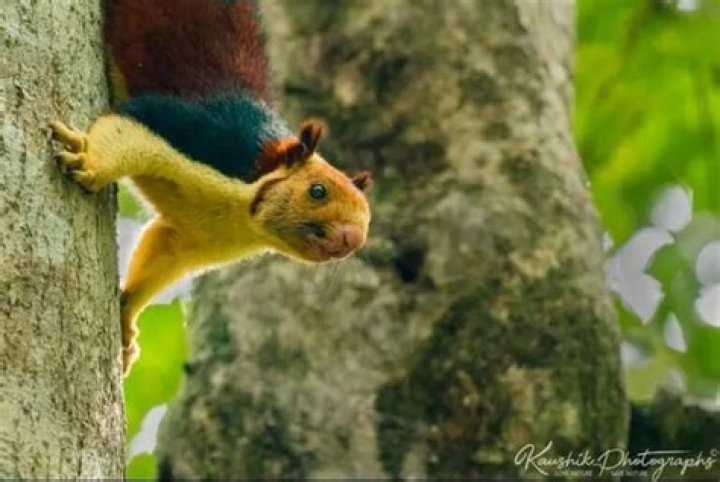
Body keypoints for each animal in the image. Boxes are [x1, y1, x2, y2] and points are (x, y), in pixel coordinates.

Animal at [49, 0, 372, 375]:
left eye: (368, 222)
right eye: (317, 191)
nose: (352, 240)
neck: (243, 211)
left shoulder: (200, 240)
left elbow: (164, 252)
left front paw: (126, 319)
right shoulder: (206, 134)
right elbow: (131, 124)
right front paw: (89, 164)